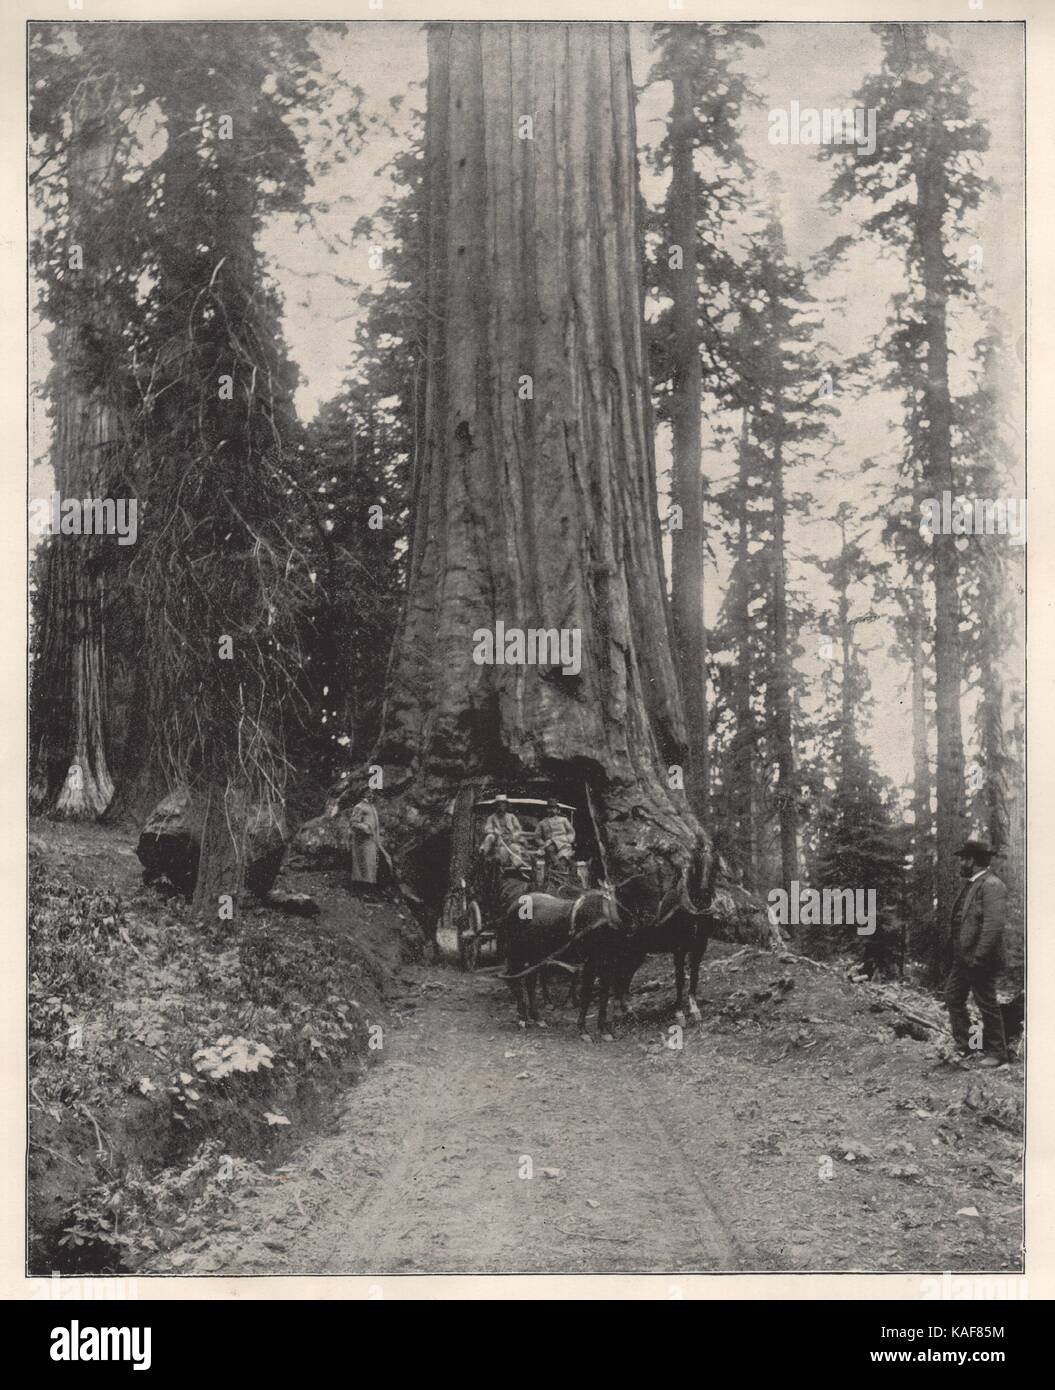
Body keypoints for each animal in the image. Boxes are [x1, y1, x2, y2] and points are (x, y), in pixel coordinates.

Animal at [497, 872, 622, 1039]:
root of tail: (513, 905)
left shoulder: (608, 963)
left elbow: (604, 994)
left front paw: (603, 1030)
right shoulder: (589, 964)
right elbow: (587, 994)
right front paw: (583, 1030)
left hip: (535, 955)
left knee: (530, 982)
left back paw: (537, 1018)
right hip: (517, 954)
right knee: (516, 981)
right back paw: (522, 1019)